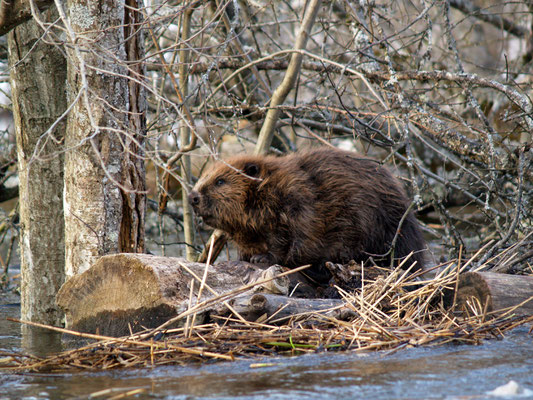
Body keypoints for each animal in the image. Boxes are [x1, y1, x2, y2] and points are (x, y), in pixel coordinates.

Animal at [187, 147, 424, 282]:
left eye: (220, 181)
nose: (192, 197)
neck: (269, 186)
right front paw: (244, 256)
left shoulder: (298, 201)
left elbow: (291, 238)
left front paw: (261, 257)